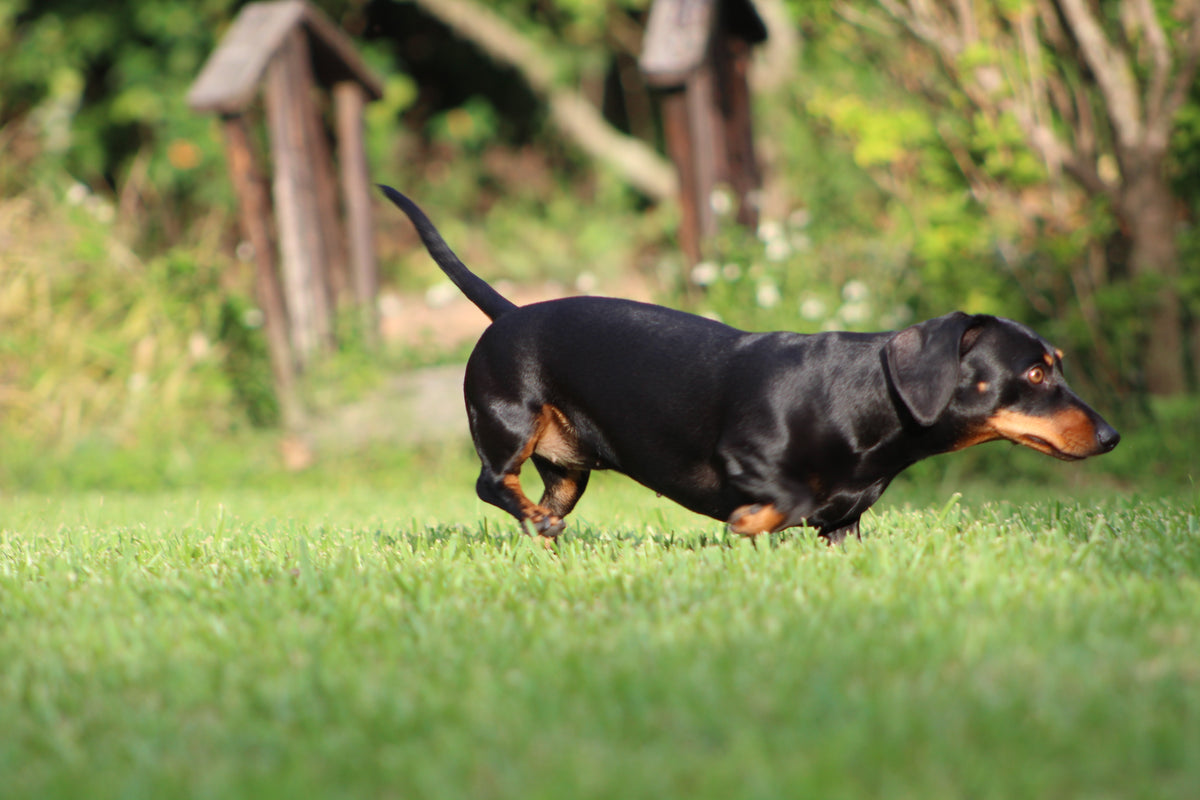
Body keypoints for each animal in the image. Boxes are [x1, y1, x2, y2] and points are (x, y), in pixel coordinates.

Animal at [379, 185, 1118, 544]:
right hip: (508, 423)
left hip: (569, 469)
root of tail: (508, 313)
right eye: (1034, 374)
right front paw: (747, 527)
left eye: (1055, 364)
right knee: (491, 483)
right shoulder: (748, 458)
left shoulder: (846, 528)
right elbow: (787, 501)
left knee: (541, 503)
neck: (864, 403)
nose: (1112, 436)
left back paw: (545, 533)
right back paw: (533, 519)